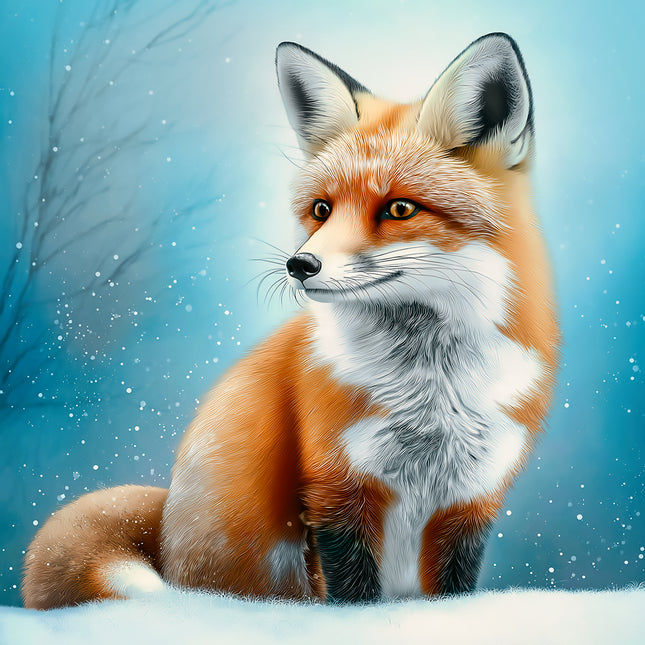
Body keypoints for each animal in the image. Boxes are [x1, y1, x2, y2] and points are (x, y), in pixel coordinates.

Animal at [22, 33, 559, 609]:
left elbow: (452, 593)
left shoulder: (472, 499)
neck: (429, 391)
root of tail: (165, 536)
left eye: (399, 209)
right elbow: (351, 595)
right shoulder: (334, 488)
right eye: (322, 209)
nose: (300, 266)